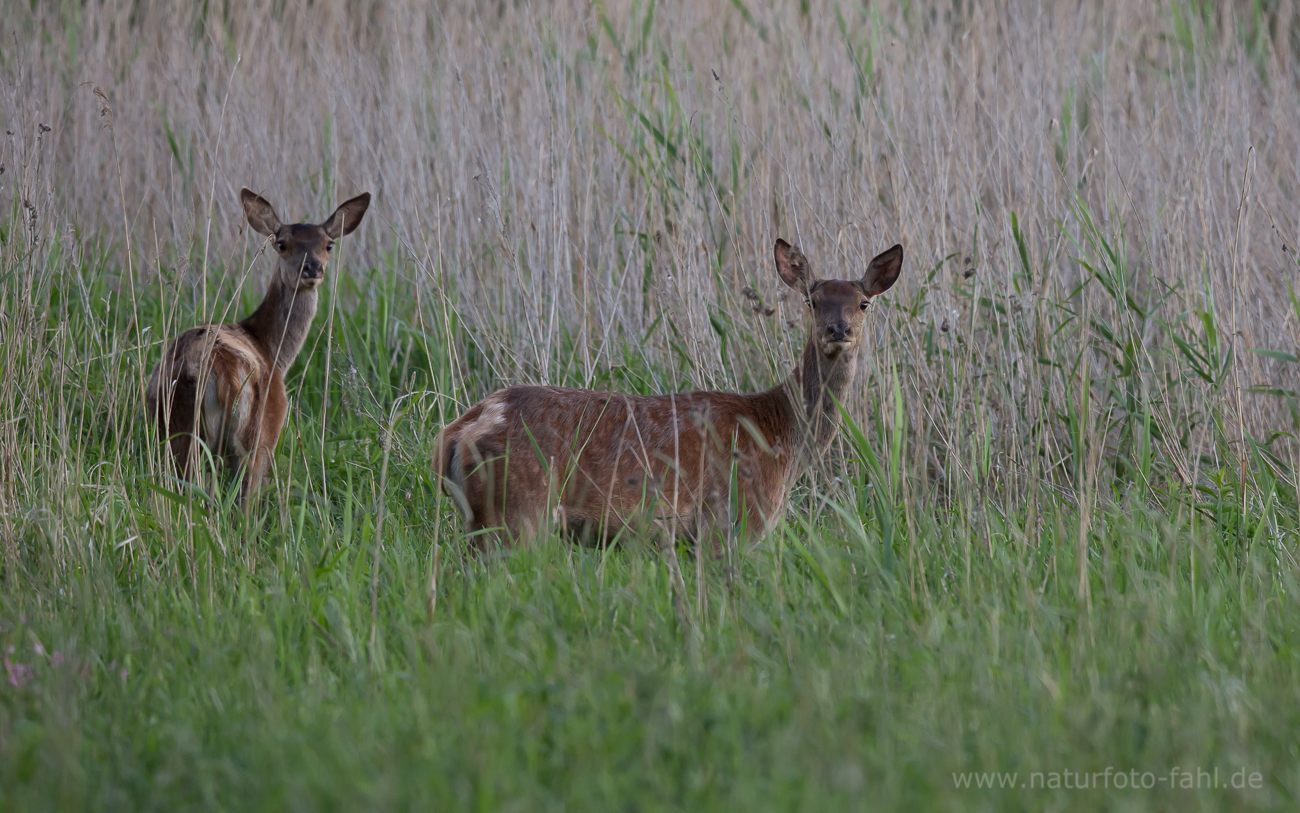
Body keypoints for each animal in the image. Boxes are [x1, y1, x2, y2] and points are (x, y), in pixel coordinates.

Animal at [146, 191, 371, 507]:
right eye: (282, 243)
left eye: (328, 244)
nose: (312, 268)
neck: (271, 348)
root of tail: (223, 372)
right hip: (256, 433)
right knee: (246, 496)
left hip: (176, 427)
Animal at [436, 239, 904, 546]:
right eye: (812, 300)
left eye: (863, 303)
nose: (838, 329)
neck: (780, 438)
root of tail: (457, 433)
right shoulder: (737, 521)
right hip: (519, 510)